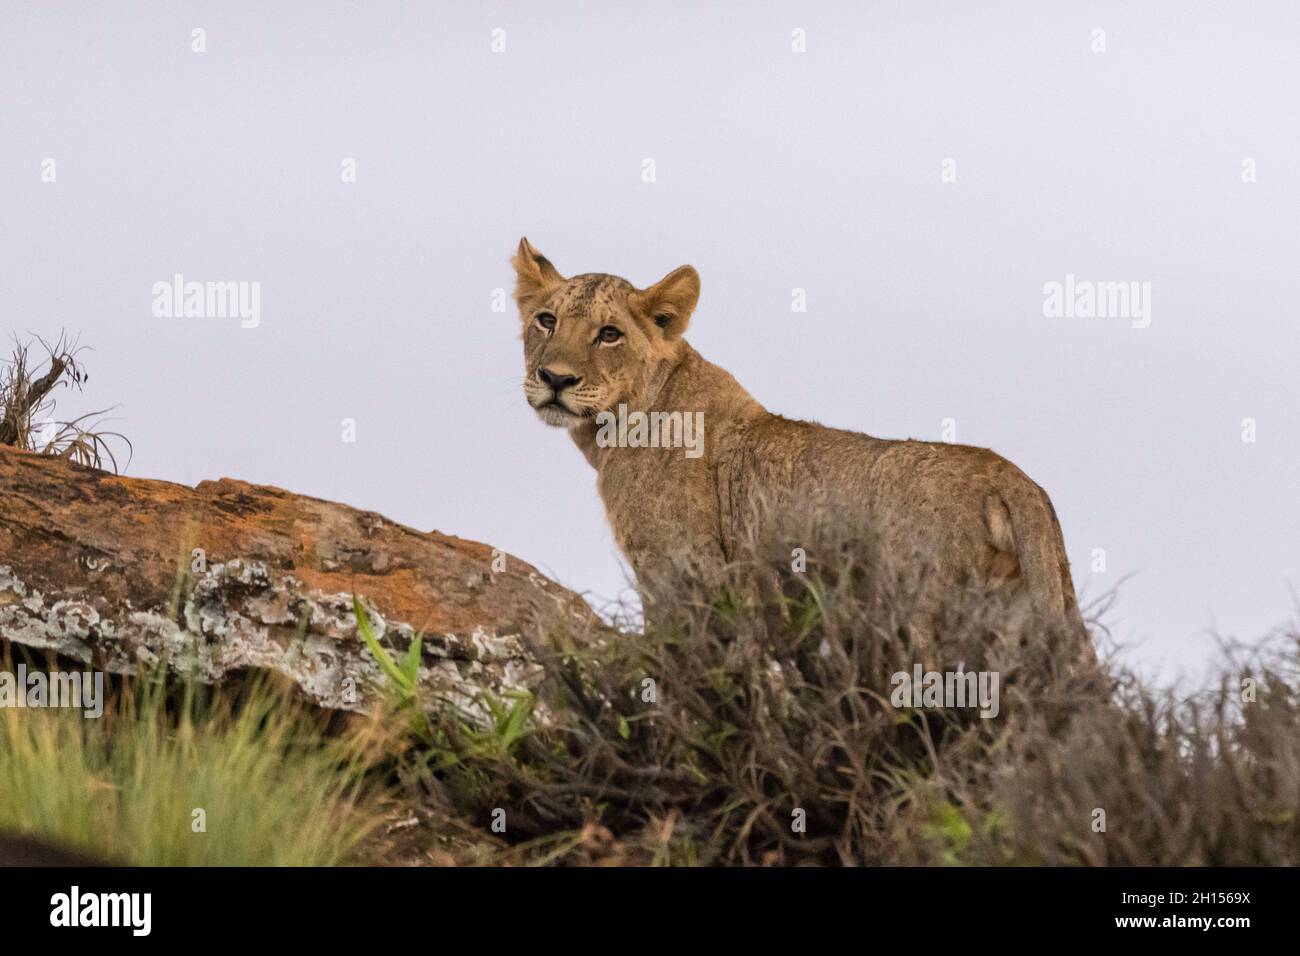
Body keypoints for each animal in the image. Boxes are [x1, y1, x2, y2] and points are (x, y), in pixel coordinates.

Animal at [512, 235, 1092, 647]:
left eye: (609, 334)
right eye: (546, 320)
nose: (554, 379)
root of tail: (1012, 479)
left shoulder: (683, 569)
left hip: (920, 610)